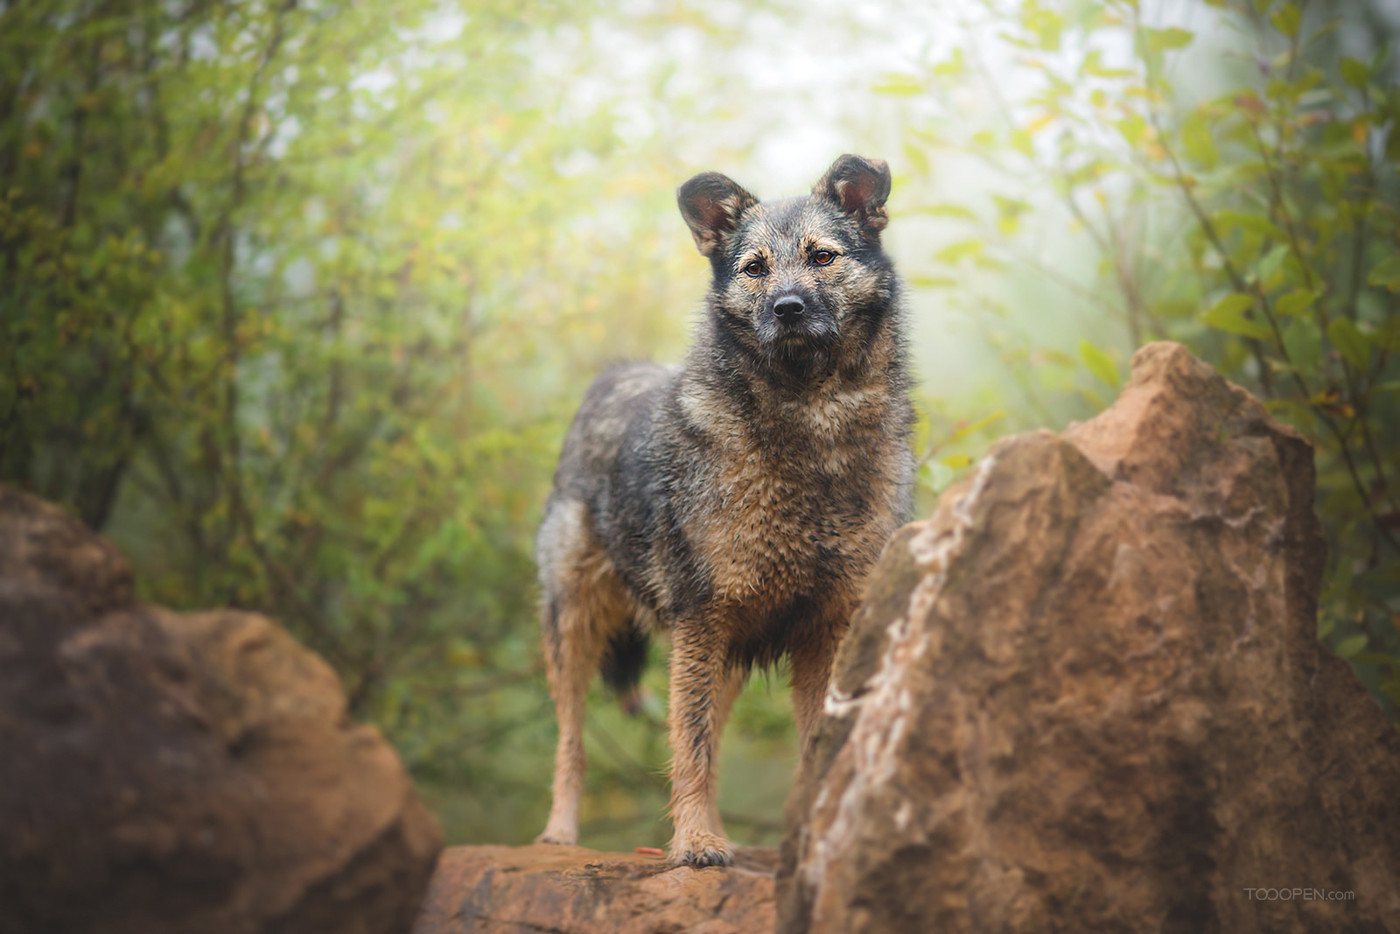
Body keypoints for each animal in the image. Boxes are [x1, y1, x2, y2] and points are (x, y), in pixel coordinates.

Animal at [529, 155, 912, 868]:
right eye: (754, 267)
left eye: (822, 256)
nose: (787, 308)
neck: (808, 429)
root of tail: (610, 376)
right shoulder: (702, 617)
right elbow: (692, 750)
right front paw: (695, 844)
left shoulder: (827, 626)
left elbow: (810, 748)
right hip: (577, 627)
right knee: (572, 743)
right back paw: (559, 834)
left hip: (720, 653)